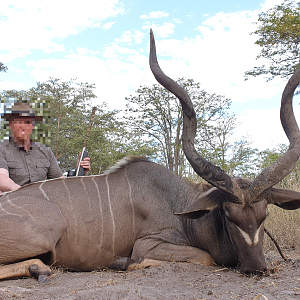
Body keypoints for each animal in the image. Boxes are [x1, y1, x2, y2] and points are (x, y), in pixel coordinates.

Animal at [0, 29, 298, 282]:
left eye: (264, 215)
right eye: (227, 214)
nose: (255, 267)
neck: (181, 204)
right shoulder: (150, 244)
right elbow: (205, 257)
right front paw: (122, 262)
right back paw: (40, 268)